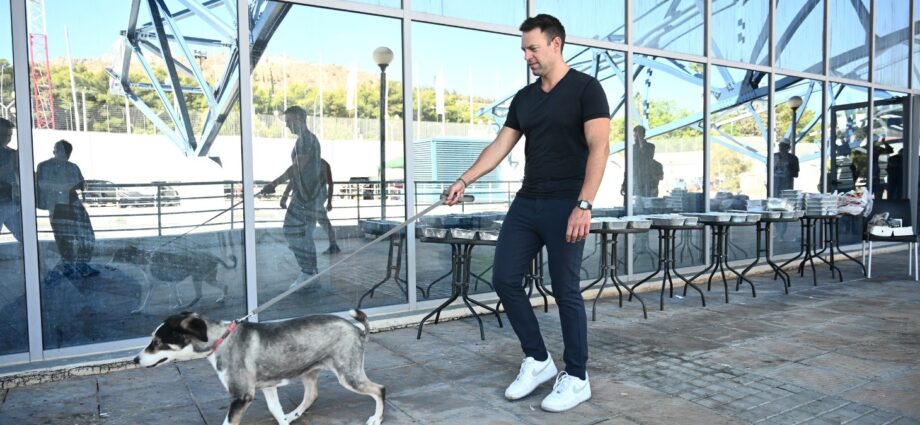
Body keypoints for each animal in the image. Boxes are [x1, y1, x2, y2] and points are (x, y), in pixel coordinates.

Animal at [134, 310, 385, 425]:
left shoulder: (242, 396)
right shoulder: (268, 387)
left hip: (348, 375)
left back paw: (376, 418)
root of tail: (357, 330)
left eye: (158, 342)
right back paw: (293, 415)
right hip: (309, 370)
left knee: (379, 389)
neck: (222, 340)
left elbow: (228, 422)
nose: (136, 360)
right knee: (311, 394)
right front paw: (283, 419)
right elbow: (276, 411)